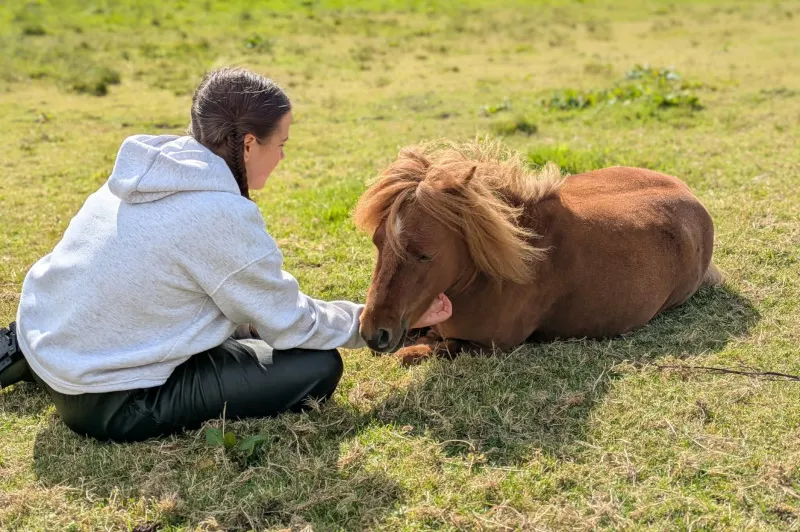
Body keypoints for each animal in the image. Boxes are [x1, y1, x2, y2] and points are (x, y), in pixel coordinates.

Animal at [354, 140, 722, 365]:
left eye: (425, 254)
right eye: (377, 242)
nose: (374, 333)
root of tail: (692, 197)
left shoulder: (489, 346)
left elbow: (428, 349)